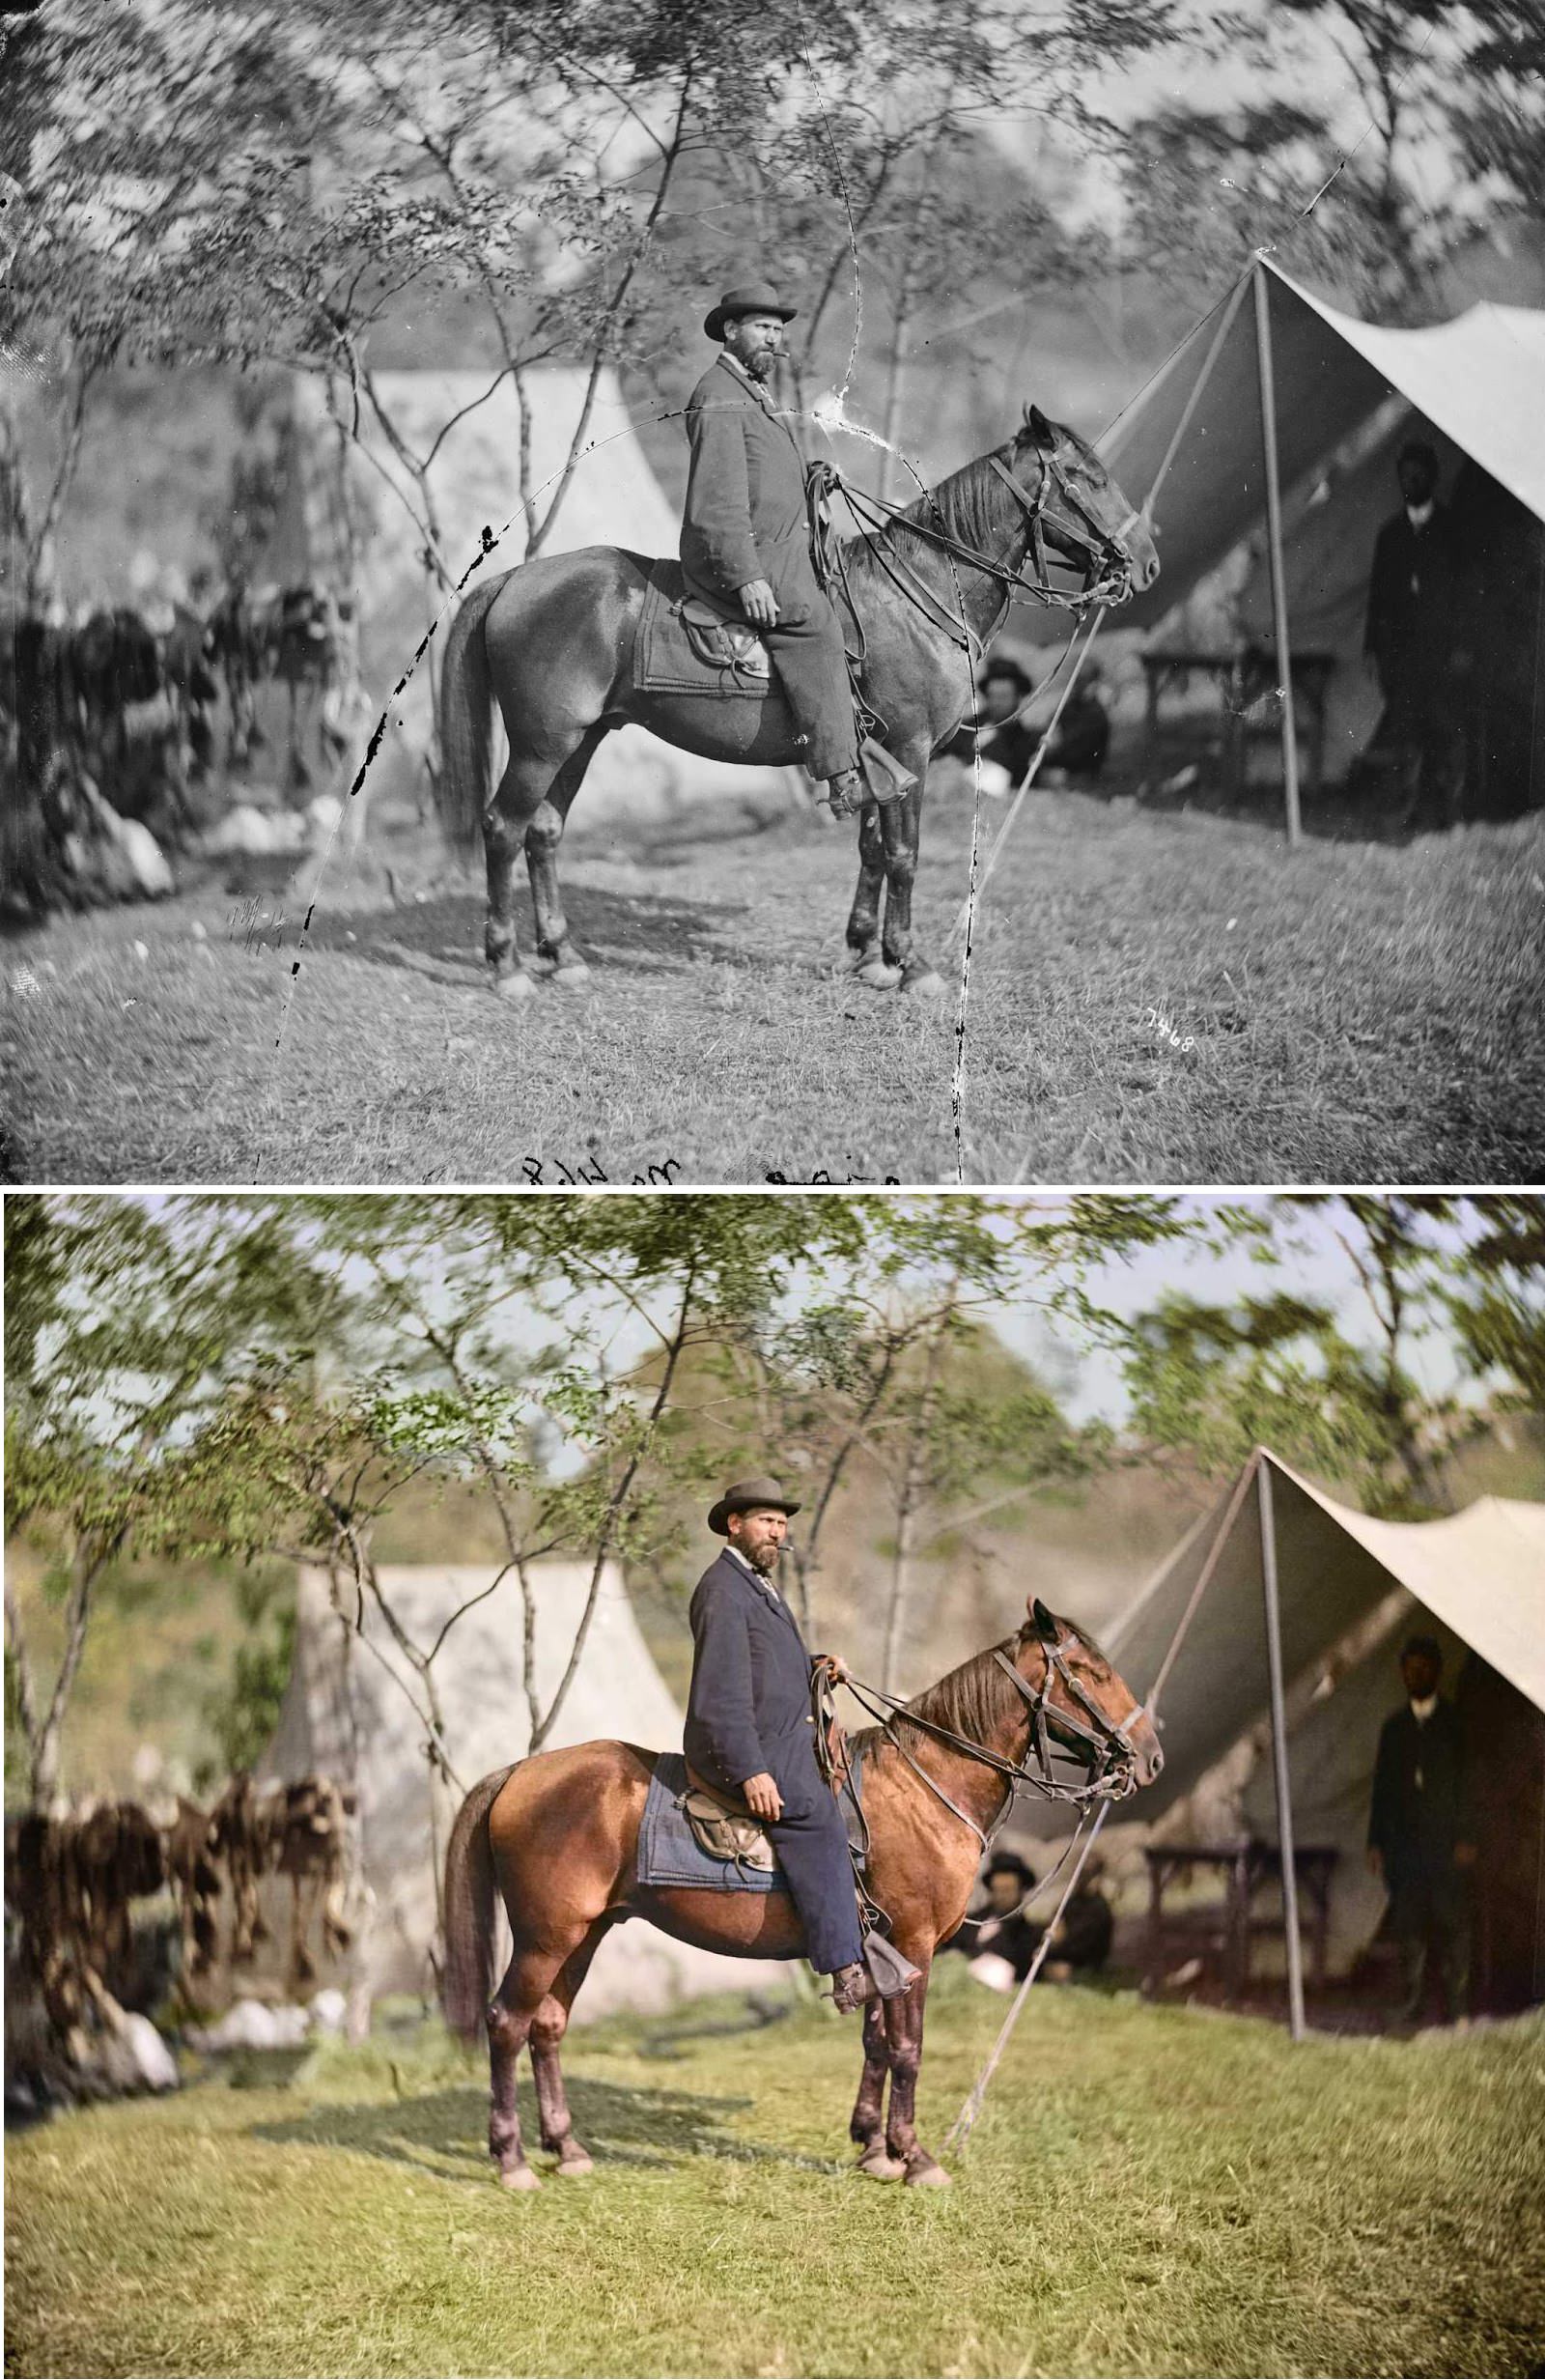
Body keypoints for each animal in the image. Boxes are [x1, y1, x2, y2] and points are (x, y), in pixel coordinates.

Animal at [433, 404, 1157, 999]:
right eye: (1084, 477)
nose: (1146, 563)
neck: (917, 591)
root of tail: (515, 579)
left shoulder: (877, 757)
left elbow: (872, 848)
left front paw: (867, 954)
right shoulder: (910, 750)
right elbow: (904, 854)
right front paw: (910, 963)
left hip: (580, 741)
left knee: (543, 833)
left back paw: (562, 954)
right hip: (541, 745)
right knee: (503, 829)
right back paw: (508, 966)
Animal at [437, 1599, 1157, 2189]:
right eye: (1088, 1672)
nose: (1150, 1758)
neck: (925, 1786)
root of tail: (521, 1772)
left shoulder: (882, 1952)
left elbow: (876, 2042)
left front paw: (874, 2148)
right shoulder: (913, 1944)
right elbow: (908, 2048)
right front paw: (915, 2156)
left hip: (583, 1935)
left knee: (547, 2027)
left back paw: (566, 2147)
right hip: (545, 1938)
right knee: (507, 2023)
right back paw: (512, 2160)